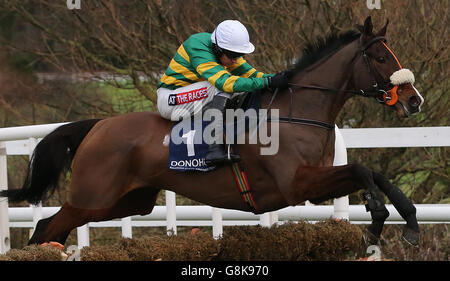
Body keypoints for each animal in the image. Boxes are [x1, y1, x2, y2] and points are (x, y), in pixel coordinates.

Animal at [0, 16, 422, 246]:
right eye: (380, 57)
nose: (414, 99)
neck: (296, 113)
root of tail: (98, 125)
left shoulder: (313, 184)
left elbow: (375, 173)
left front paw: (406, 222)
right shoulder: (297, 184)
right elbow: (362, 170)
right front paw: (376, 213)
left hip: (126, 201)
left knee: (49, 226)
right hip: (92, 195)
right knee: (50, 226)